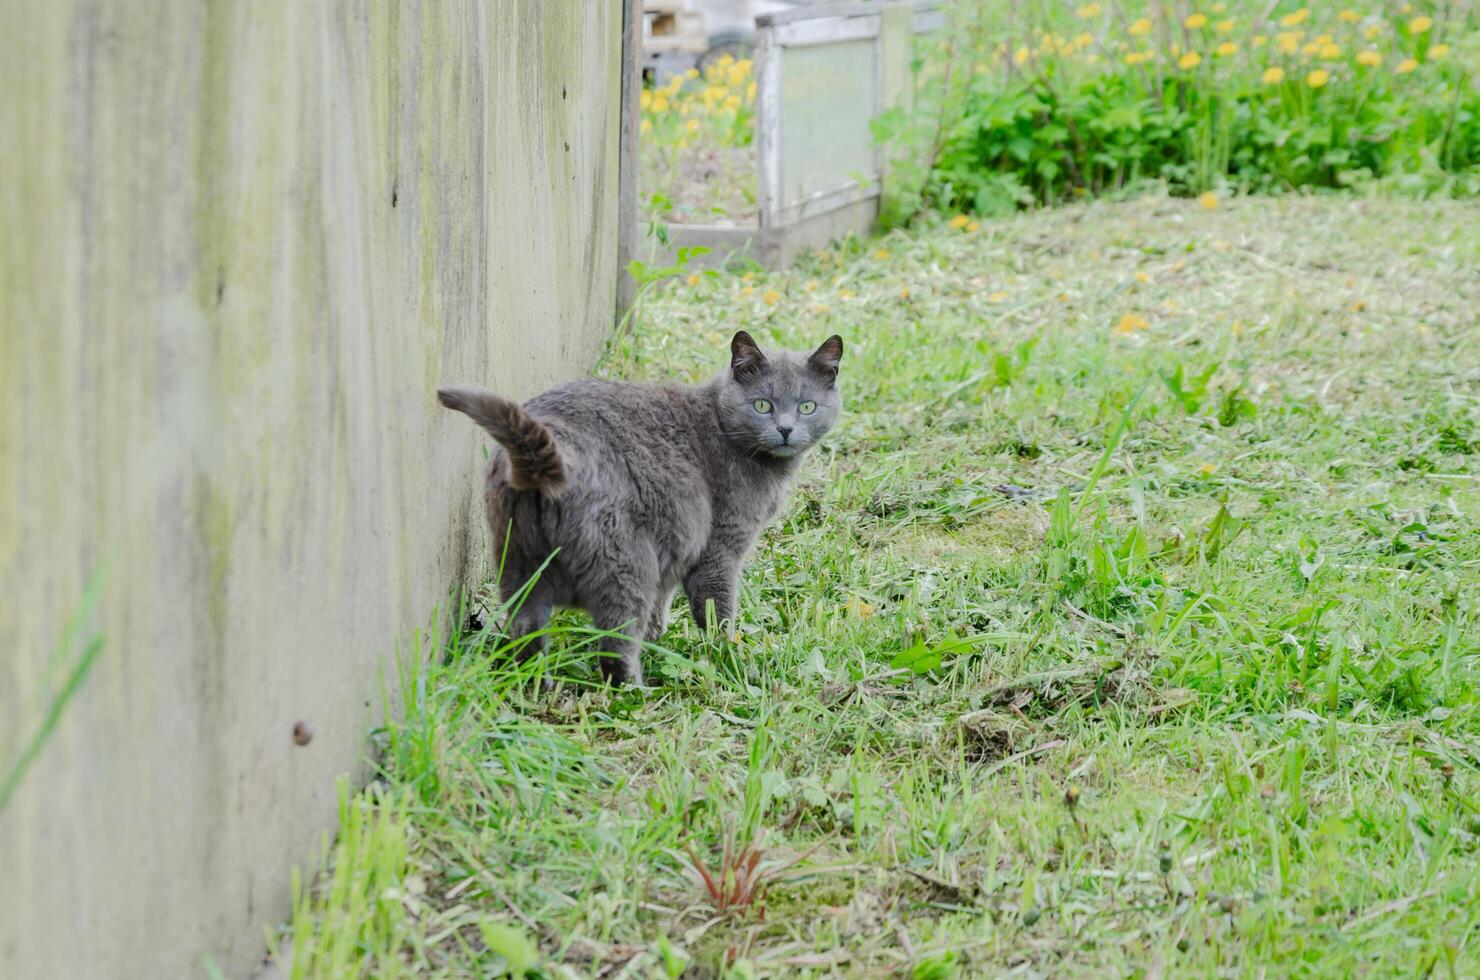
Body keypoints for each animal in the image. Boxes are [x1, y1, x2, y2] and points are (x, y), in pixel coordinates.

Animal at [435, 330, 846, 683]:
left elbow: (662, 603)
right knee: (614, 644)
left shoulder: (677, 541)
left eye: (806, 406)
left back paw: (537, 685)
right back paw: (634, 691)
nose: (785, 429)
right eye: (763, 404)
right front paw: (728, 660)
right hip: (626, 560)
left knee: (525, 631)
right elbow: (717, 611)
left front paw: (658, 637)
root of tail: (548, 454)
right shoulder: (720, 548)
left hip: (518, 555)